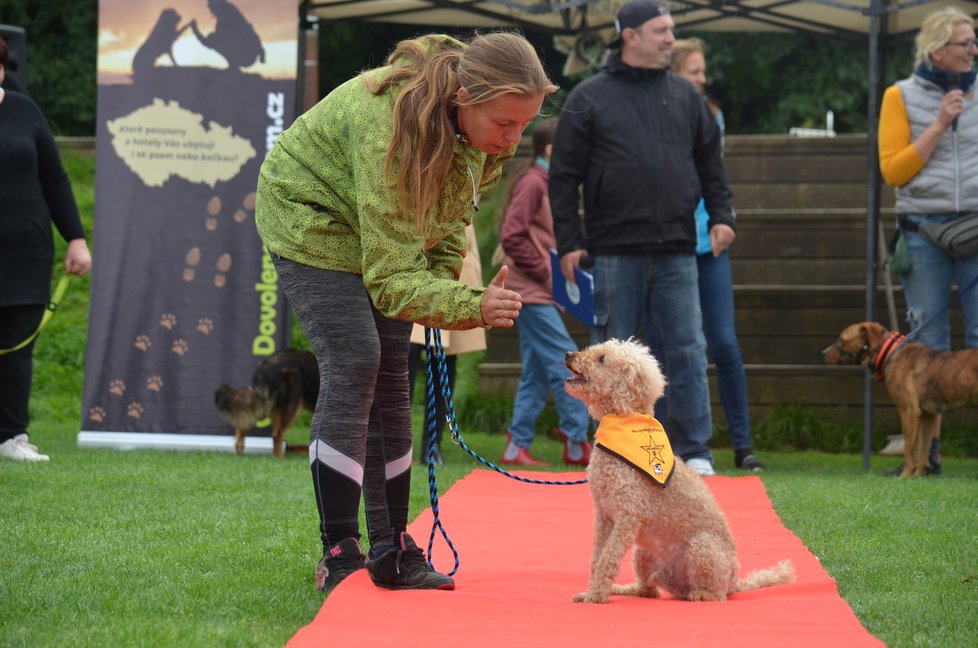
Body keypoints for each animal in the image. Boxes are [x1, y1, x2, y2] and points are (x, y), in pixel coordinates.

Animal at [820, 322, 976, 478]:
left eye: (842, 340)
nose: (822, 353)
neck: (889, 352)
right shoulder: (928, 416)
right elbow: (922, 451)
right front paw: (918, 476)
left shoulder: (909, 412)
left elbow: (909, 448)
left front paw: (905, 475)